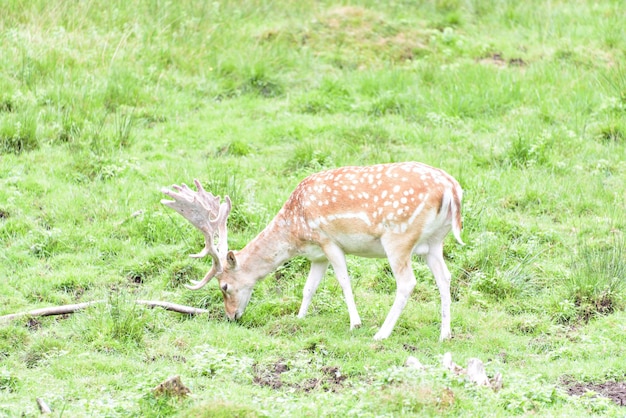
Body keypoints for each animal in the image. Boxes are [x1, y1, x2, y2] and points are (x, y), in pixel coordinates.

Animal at [162, 162, 464, 342]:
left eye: (224, 286)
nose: (231, 316)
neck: (295, 231)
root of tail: (451, 188)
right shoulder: (317, 255)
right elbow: (309, 287)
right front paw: (299, 317)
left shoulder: (328, 240)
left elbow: (344, 281)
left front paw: (355, 323)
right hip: (435, 241)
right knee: (445, 278)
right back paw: (445, 334)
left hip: (398, 237)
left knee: (407, 282)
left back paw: (381, 333)